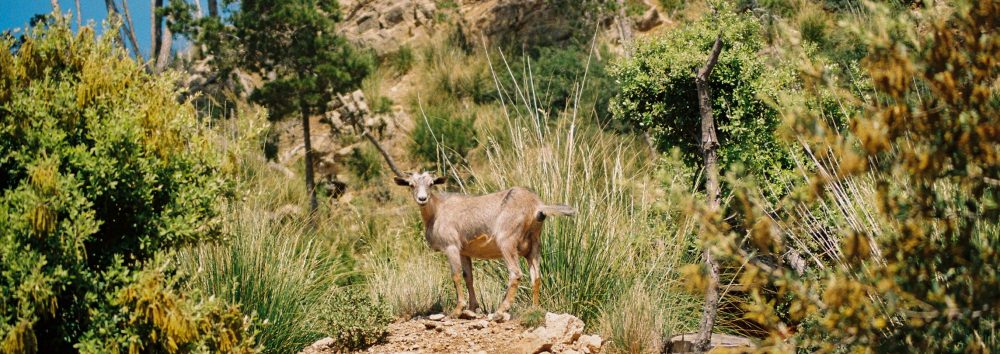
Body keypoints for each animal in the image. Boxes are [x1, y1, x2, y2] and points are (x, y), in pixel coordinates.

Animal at [392, 172, 576, 318]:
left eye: (431, 183)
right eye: (411, 184)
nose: (422, 199)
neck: (437, 211)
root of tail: (537, 206)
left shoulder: (451, 247)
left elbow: (456, 276)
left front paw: (457, 310)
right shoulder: (464, 251)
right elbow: (468, 277)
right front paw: (474, 308)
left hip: (506, 241)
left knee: (515, 273)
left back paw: (500, 311)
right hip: (534, 245)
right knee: (536, 276)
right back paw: (534, 309)